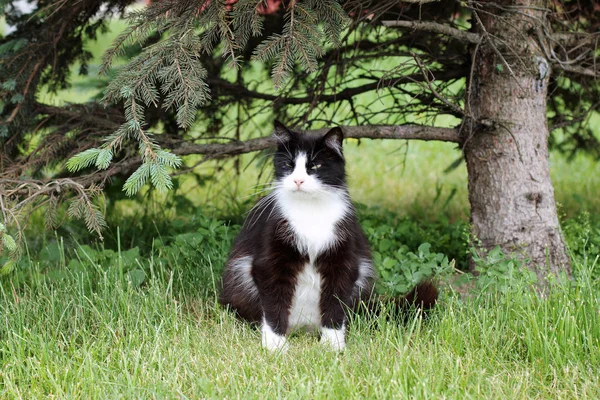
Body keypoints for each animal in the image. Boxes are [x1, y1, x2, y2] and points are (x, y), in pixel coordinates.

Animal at [219, 120, 436, 352]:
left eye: (314, 166)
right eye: (288, 164)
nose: (298, 181)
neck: (310, 211)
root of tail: (302, 328)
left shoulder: (342, 256)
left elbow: (335, 301)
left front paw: (333, 345)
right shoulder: (271, 256)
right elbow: (273, 300)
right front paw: (275, 345)